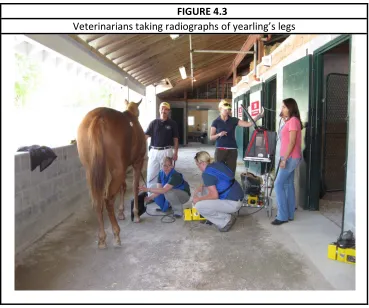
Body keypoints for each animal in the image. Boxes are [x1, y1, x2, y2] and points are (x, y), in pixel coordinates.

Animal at [77, 100, 146, 249]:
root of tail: (98, 117)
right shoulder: (137, 163)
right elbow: (135, 186)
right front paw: (136, 214)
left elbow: (123, 187)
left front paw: (121, 212)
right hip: (118, 171)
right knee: (108, 200)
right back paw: (116, 234)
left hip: (91, 172)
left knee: (98, 201)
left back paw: (102, 238)